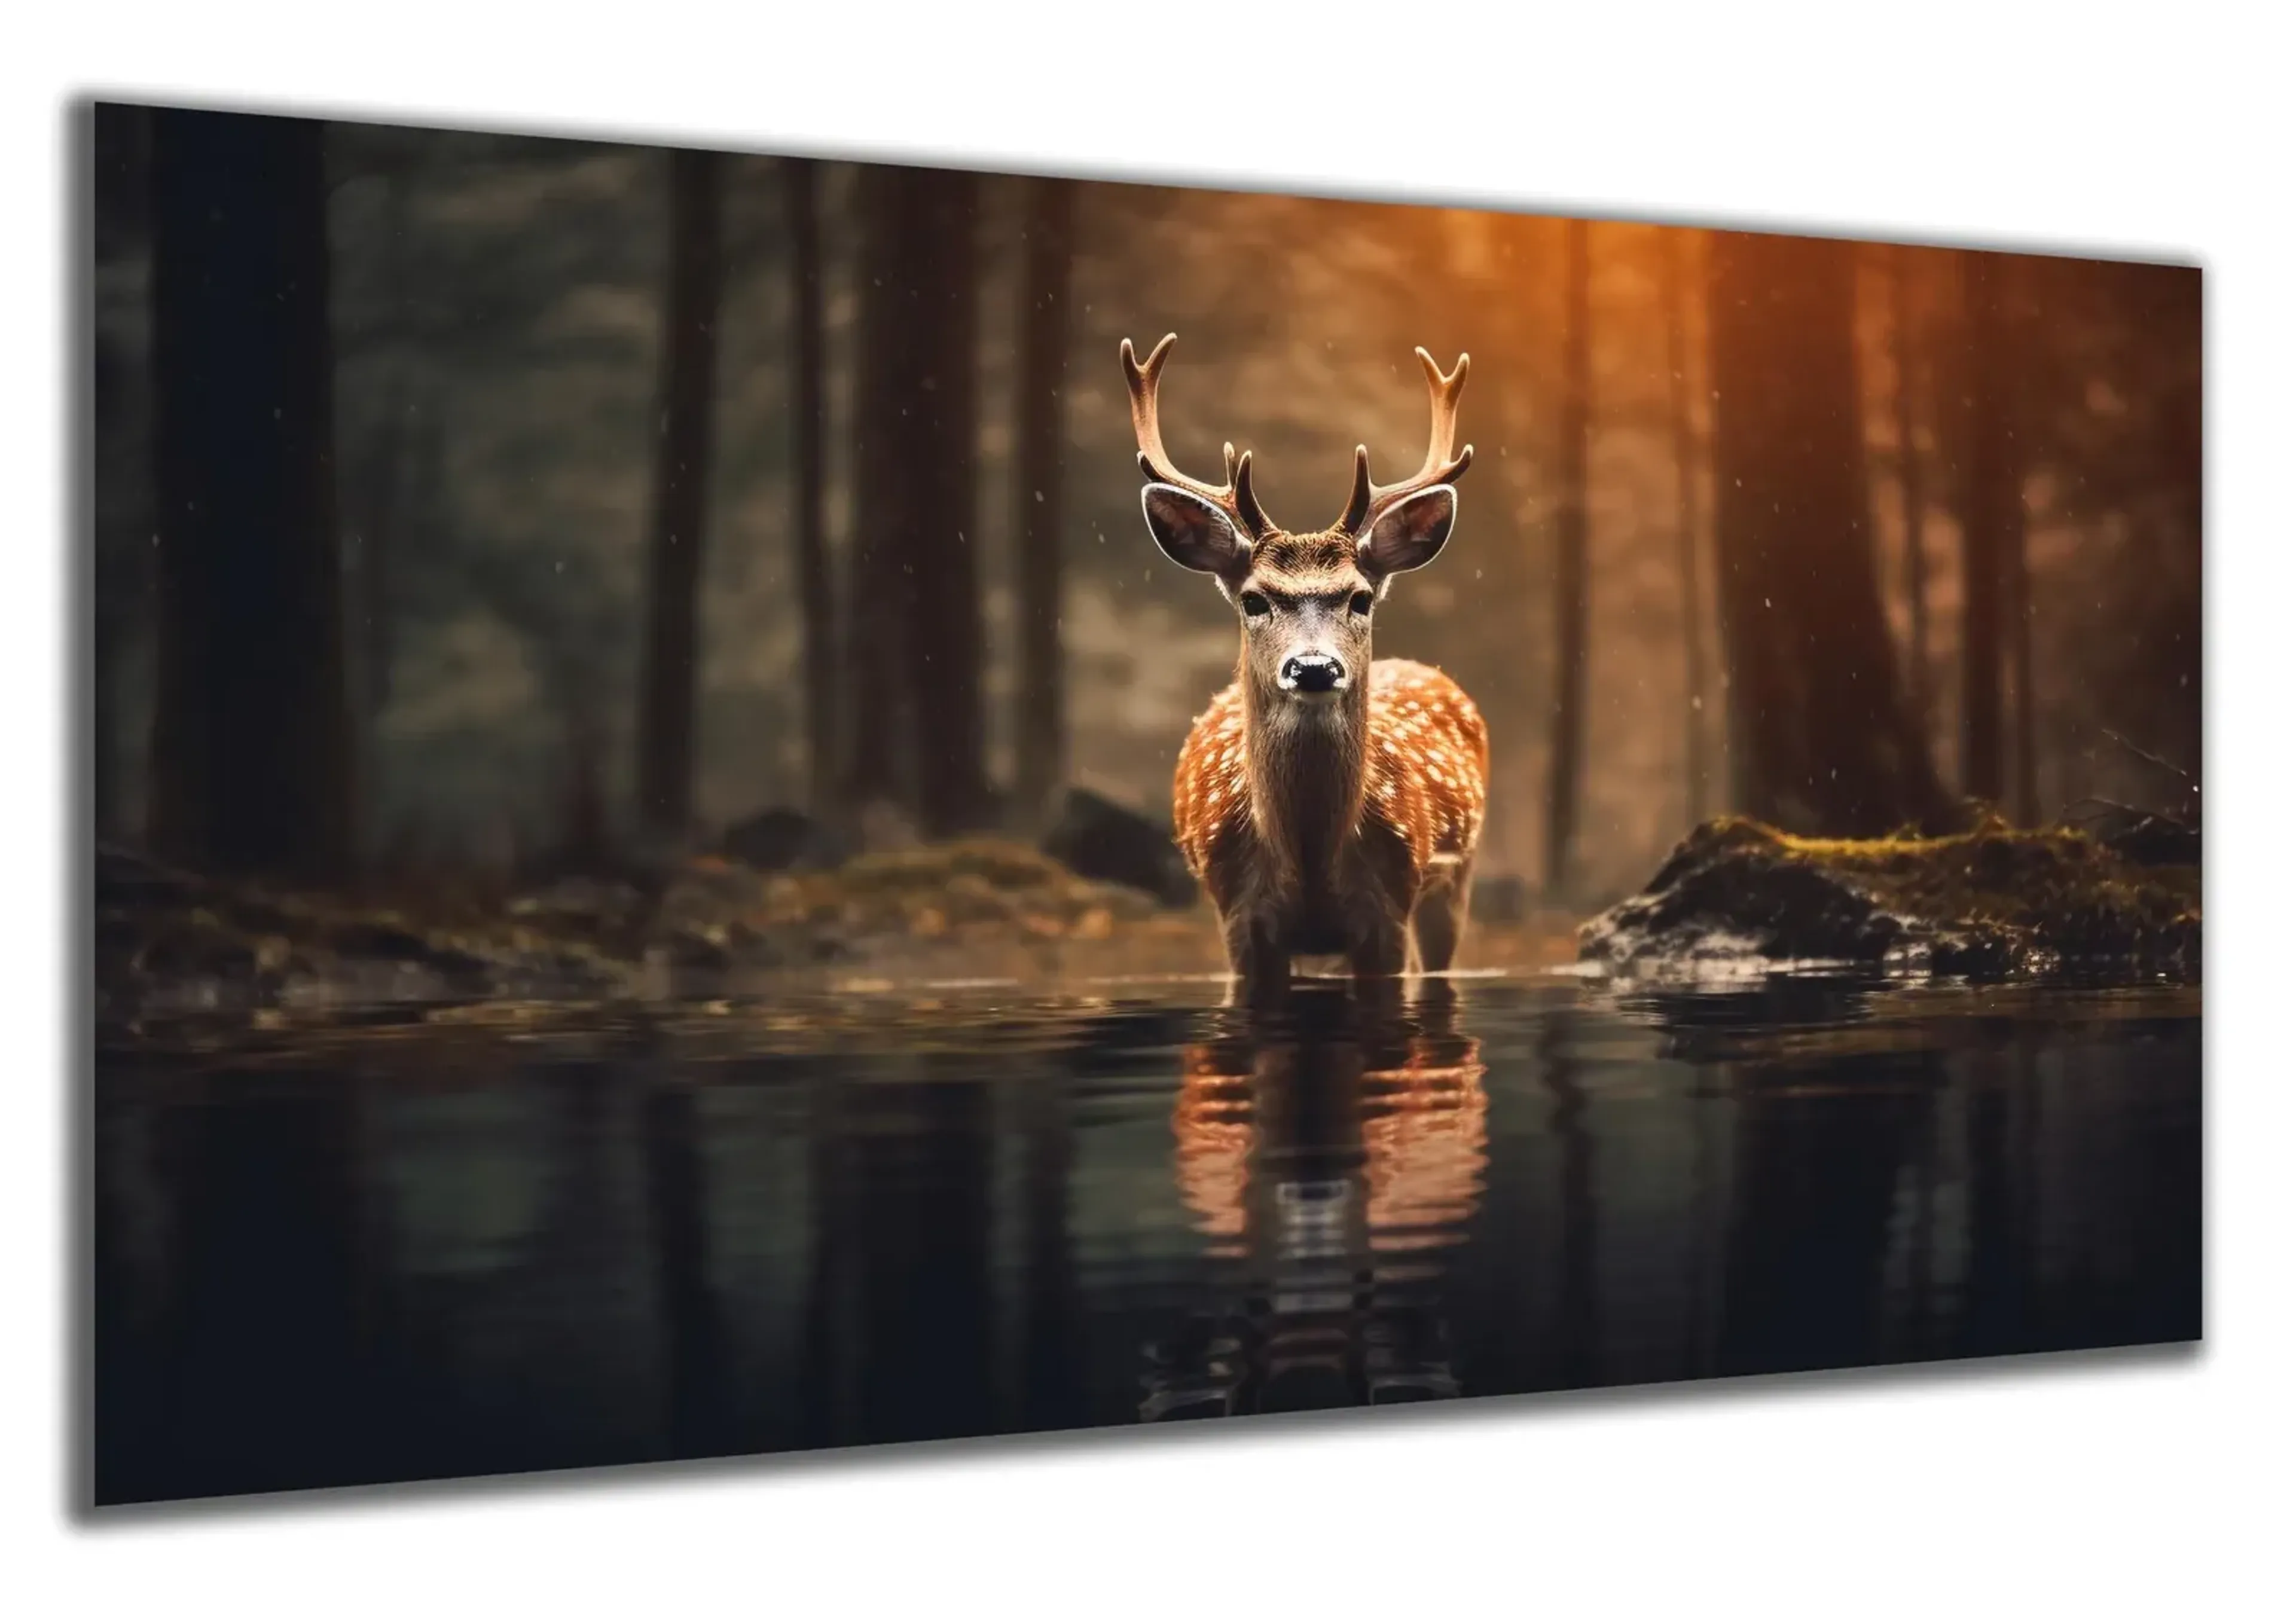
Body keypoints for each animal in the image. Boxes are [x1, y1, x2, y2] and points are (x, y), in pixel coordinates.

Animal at [1123, 333, 1492, 1001]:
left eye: (1361, 597)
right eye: (1254, 599)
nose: (1314, 668)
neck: (1310, 858)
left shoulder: (1389, 907)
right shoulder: (1237, 914)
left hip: (1455, 880)